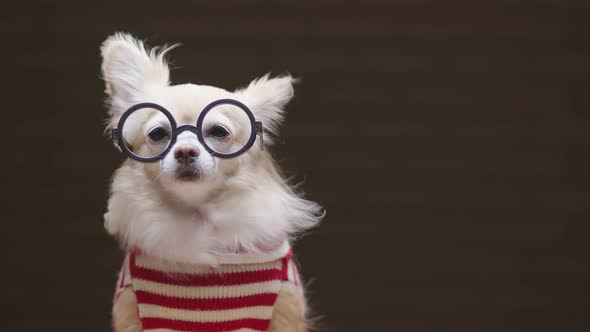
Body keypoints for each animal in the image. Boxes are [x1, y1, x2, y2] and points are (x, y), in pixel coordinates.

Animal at [102, 31, 324, 332]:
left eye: (219, 131)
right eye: (158, 134)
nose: (185, 151)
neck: (200, 217)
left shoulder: (282, 311)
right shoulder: (139, 315)